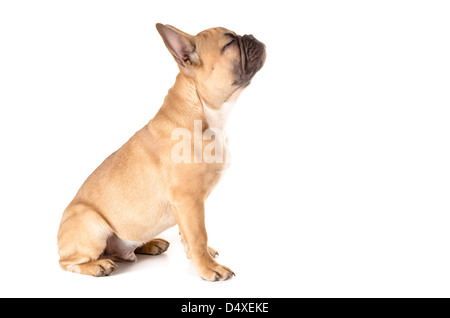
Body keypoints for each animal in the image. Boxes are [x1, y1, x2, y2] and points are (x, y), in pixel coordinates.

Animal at [57, 23, 266, 280]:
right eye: (229, 43)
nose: (251, 36)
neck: (203, 111)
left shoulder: (187, 207)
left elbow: (188, 236)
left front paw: (199, 256)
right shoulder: (188, 200)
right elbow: (198, 235)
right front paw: (208, 268)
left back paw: (150, 244)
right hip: (90, 224)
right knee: (69, 262)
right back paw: (98, 265)